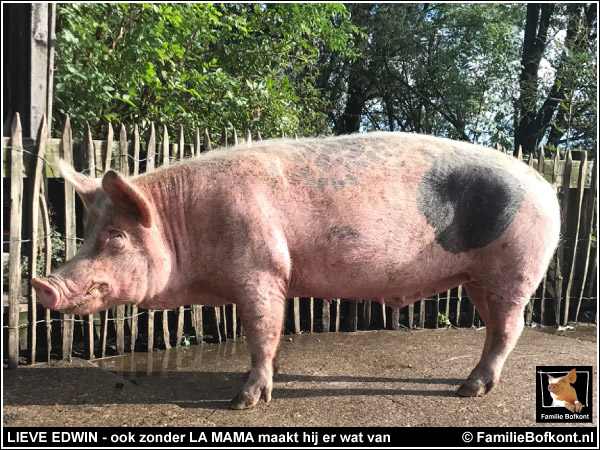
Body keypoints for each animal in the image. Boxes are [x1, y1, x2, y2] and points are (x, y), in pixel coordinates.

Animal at [31, 132, 556, 410]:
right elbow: (270, 332)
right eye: (86, 233)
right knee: (496, 327)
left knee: (509, 328)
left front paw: (243, 402)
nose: (42, 284)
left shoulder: (262, 269)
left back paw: (468, 390)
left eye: (115, 237)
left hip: (515, 268)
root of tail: (546, 186)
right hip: (480, 280)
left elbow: (261, 329)